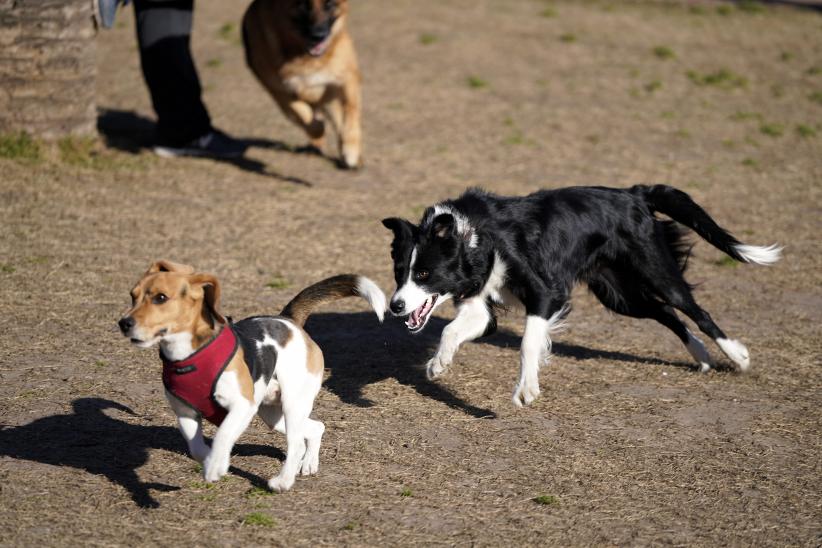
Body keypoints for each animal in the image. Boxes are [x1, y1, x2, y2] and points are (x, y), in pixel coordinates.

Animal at [119, 262, 386, 492]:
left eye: (160, 298)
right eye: (132, 295)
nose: (124, 323)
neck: (190, 356)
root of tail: (289, 320)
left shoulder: (242, 405)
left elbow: (223, 434)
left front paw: (215, 466)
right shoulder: (186, 413)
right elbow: (196, 448)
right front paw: (212, 461)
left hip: (292, 404)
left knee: (296, 443)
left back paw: (283, 481)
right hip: (272, 414)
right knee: (315, 428)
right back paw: (309, 463)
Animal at [241, 0, 364, 169]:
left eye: (330, 4)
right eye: (303, 5)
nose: (318, 36)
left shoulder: (348, 79)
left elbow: (351, 114)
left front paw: (351, 149)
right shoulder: (279, 91)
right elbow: (303, 114)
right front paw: (318, 131)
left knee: (339, 118)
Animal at [384, 186, 784, 404]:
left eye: (423, 274)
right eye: (399, 272)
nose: (396, 306)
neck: (472, 237)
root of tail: (635, 194)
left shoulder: (544, 294)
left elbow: (528, 342)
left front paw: (526, 390)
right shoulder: (479, 304)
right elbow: (451, 329)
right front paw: (439, 363)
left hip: (656, 272)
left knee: (695, 310)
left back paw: (737, 356)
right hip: (619, 295)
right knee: (667, 315)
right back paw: (700, 355)